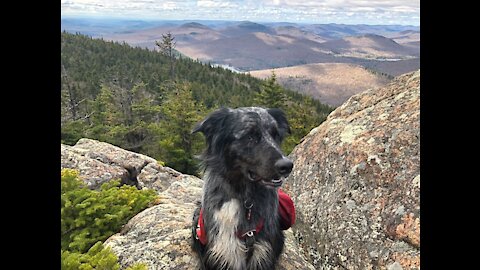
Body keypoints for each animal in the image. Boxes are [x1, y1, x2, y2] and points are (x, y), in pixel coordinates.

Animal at [191, 107, 292, 270]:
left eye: (276, 135)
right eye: (250, 136)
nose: (287, 166)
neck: (245, 198)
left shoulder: (262, 253)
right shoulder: (221, 253)